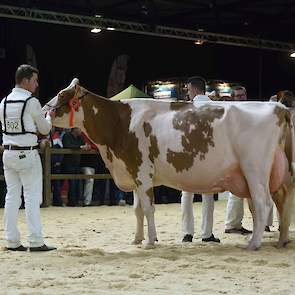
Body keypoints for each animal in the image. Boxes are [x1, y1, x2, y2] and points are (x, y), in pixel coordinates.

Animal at [44, 78, 295, 250]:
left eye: (61, 95)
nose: (44, 108)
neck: (120, 123)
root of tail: (279, 108)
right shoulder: (134, 174)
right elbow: (137, 210)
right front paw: (137, 239)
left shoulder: (143, 173)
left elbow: (148, 209)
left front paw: (150, 242)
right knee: (279, 203)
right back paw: (281, 240)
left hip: (255, 169)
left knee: (263, 204)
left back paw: (254, 244)